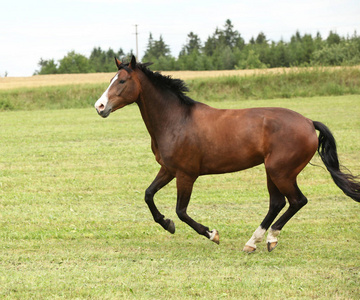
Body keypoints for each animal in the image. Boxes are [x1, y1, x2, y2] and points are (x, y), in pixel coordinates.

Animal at [93, 55, 360, 252]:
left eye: (122, 81)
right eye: (111, 79)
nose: (99, 107)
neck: (176, 120)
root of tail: (308, 122)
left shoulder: (186, 174)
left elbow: (182, 211)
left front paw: (212, 234)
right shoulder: (168, 169)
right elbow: (149, 195)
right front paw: (167, 224)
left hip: (281, 172)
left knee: (297, 201)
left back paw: (269, 239)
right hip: (272, 171)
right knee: (277, 203)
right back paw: (254, 242)